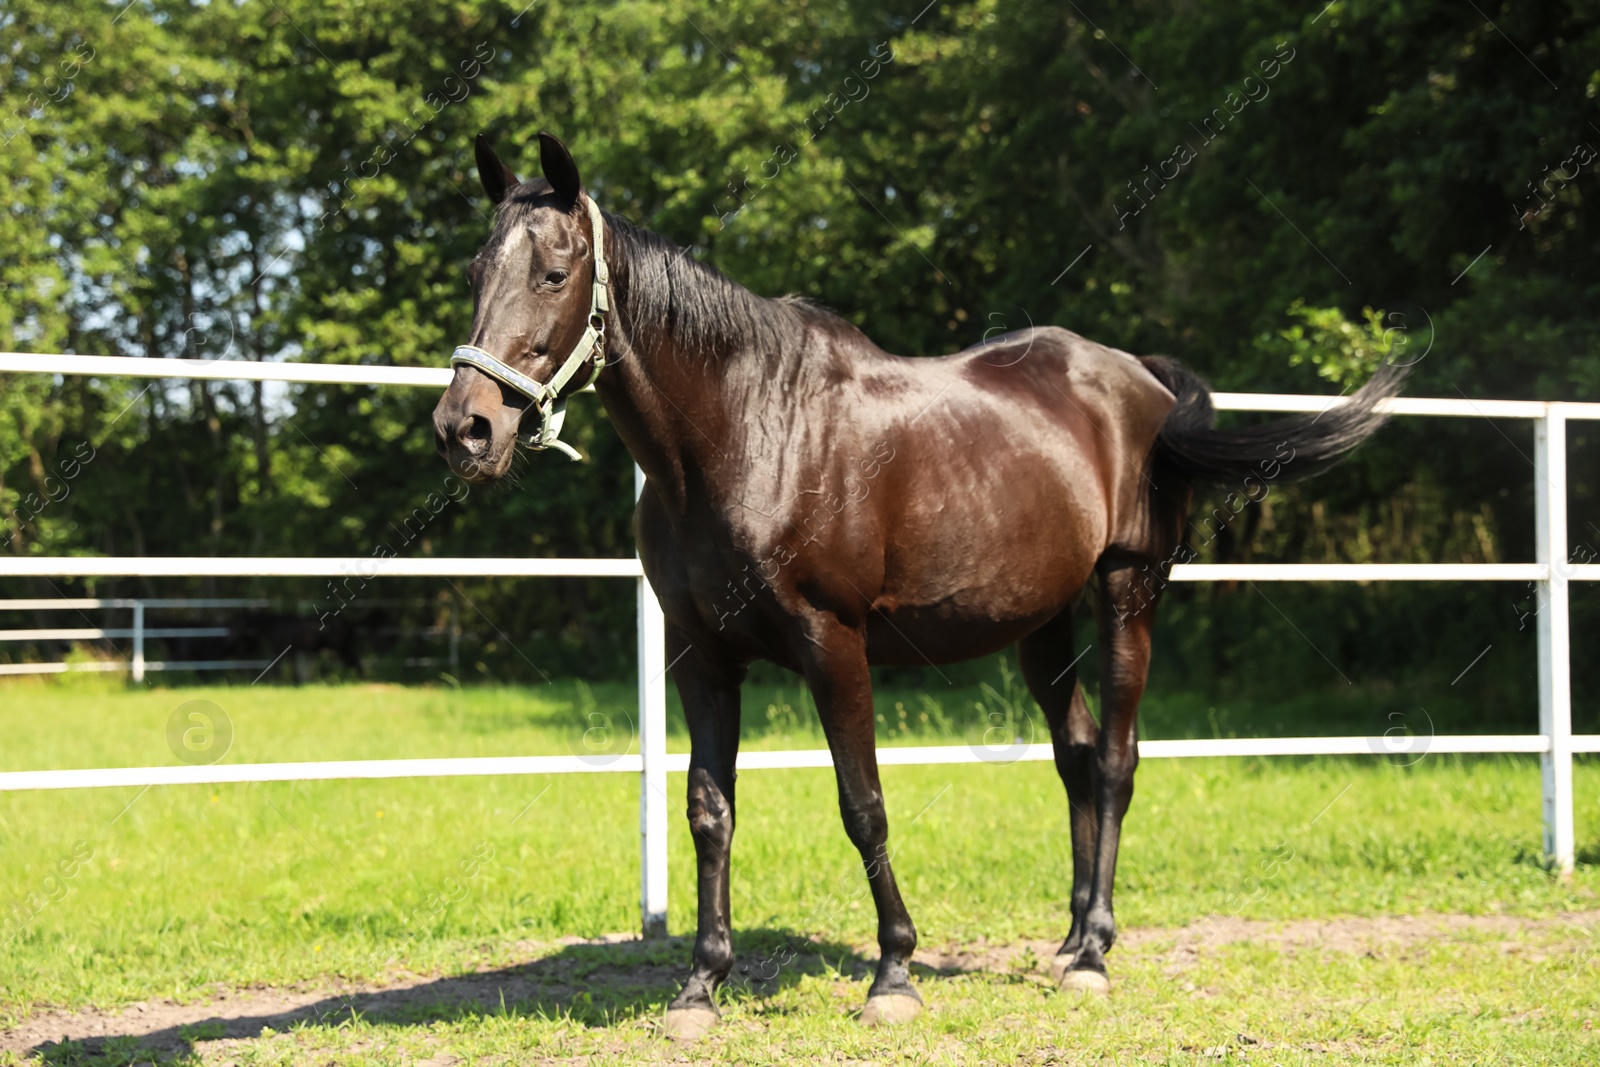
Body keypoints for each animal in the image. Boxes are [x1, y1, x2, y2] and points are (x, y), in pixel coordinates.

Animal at [432, 131, 1408, 1036]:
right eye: (477, 270)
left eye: (555, 272)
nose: (465, 429)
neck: (747, 430)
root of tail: (1143, 383)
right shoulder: (700, 653)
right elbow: (710, 810)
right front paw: (701, 985)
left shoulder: (833, 643)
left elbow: (862, 804)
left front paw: (893, 973)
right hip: (1040, 622)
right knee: (1076, 754)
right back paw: (1067, 941)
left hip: (1130, 591)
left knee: (1117, 758)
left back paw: (1095, 950)